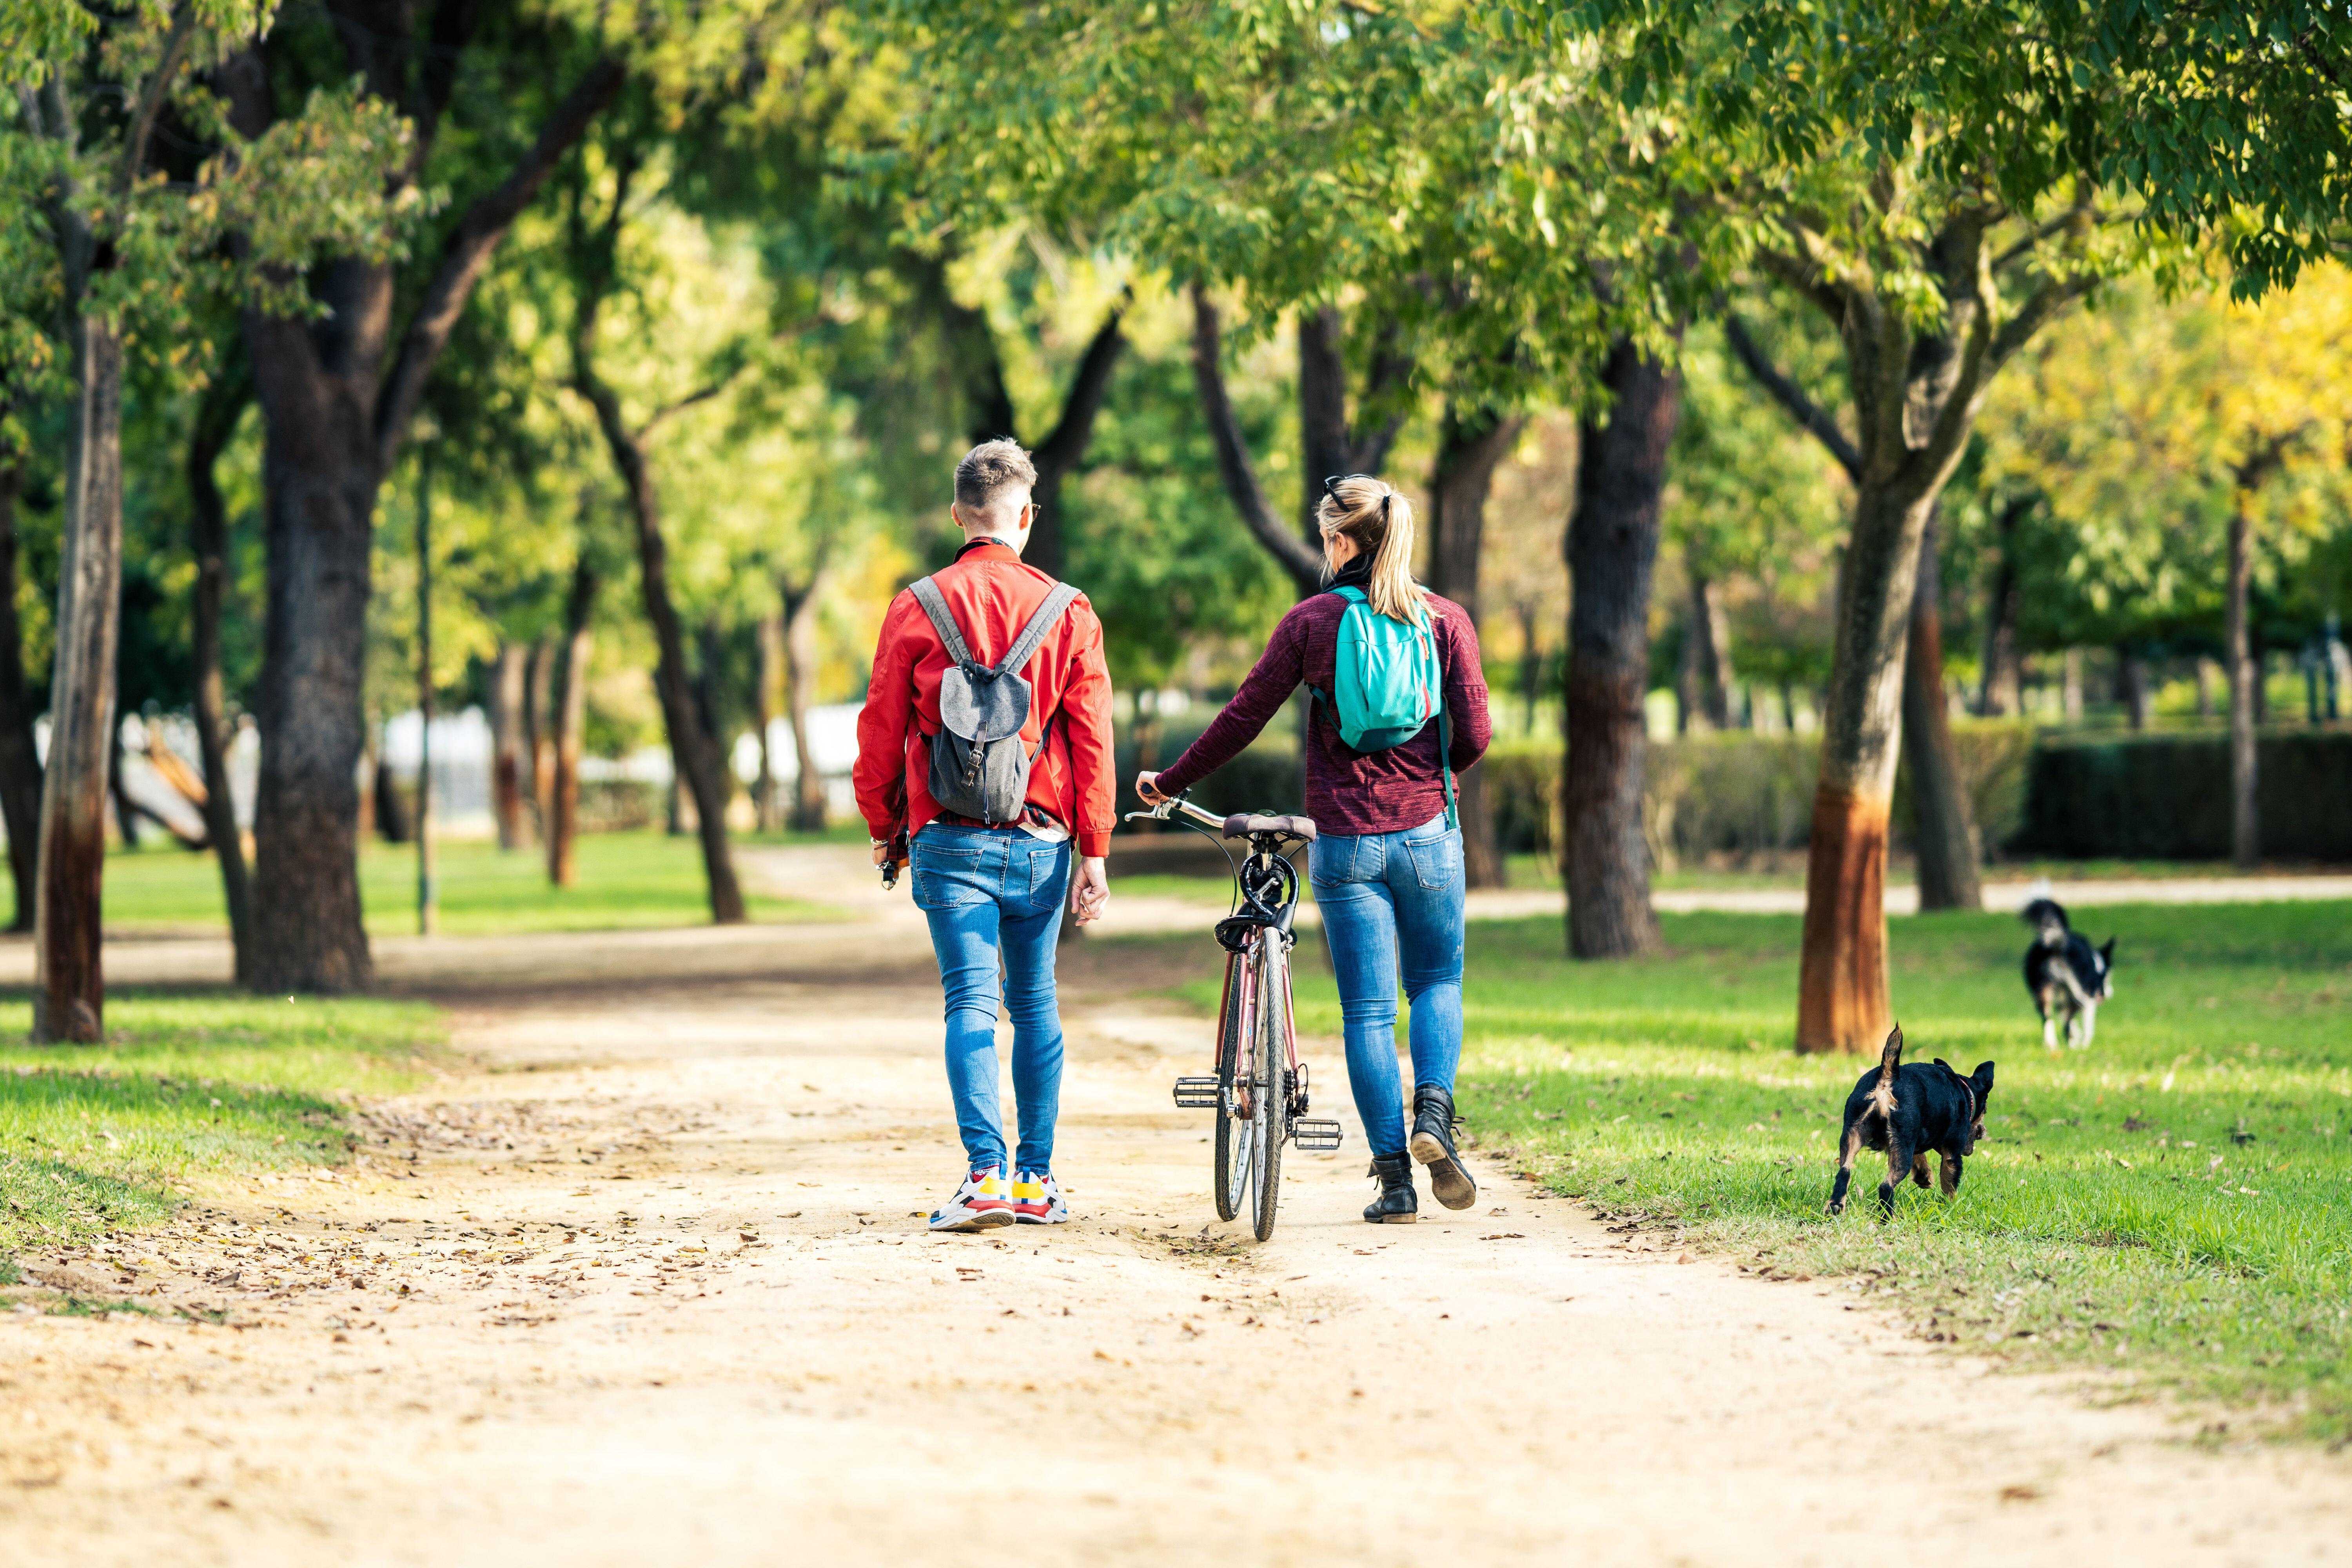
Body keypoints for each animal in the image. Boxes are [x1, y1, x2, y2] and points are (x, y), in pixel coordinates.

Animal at [2023, 902, 2117, 1048]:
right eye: (2106, 978)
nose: (2106, 994)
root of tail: (2057, 947)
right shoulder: (2088, 997)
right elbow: (2087, 1025)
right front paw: (2084, 1043)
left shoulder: (2063, 999)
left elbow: (2067, 1019)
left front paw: (2076, 1036)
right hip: (2077, 992)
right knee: (2067, 1022)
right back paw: (2073, 1046)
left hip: (2044, 990)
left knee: (2048, 1018)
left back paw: (2052, 1044)